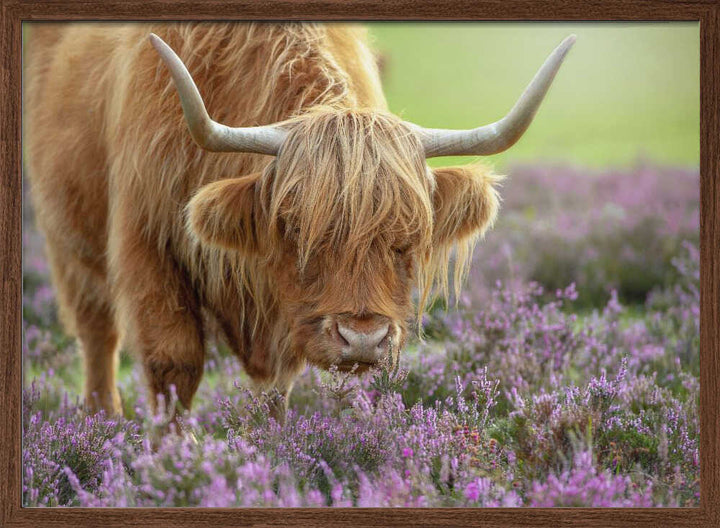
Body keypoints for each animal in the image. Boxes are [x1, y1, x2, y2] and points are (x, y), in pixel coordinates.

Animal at [25, 23, 574, 419]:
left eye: (407, 238)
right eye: (294, 229)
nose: (362, 339)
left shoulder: (280, 310)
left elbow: (275, 387)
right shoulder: (147, 244)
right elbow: (173, 364)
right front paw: (173, 464)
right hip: (67, 241)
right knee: (98, 336)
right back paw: (103, 422)